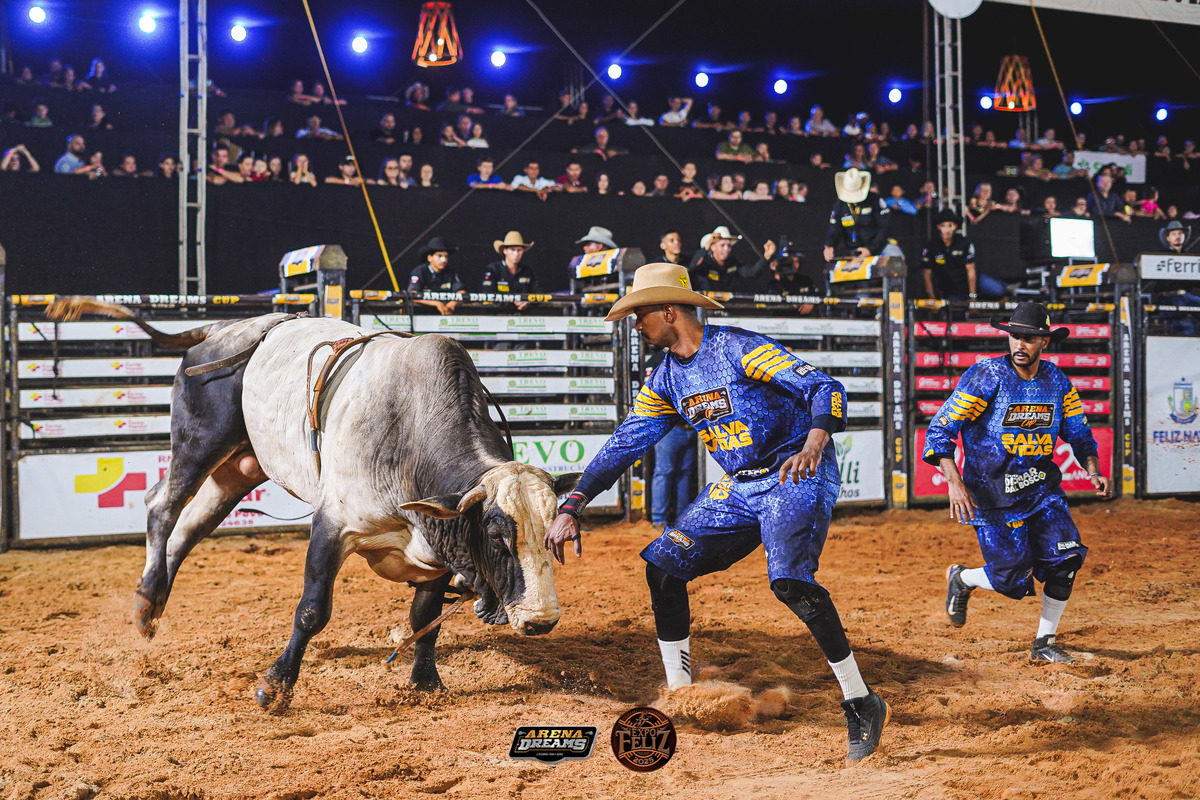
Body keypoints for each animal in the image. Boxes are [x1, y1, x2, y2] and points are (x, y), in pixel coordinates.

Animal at [46, 298, 580, 712]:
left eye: (555, 535)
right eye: (497, 536)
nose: (541, 620)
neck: (408, 431)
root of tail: (222, 329)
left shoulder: (436, 543)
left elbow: (424, 616)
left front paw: (426, 681)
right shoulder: (334, 524)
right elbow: (312, 610)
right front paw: (275, 687)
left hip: (239, 469)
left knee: (192, 525)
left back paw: (152, 601)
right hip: (200, 442)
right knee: (163, 504)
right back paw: (146, 602)